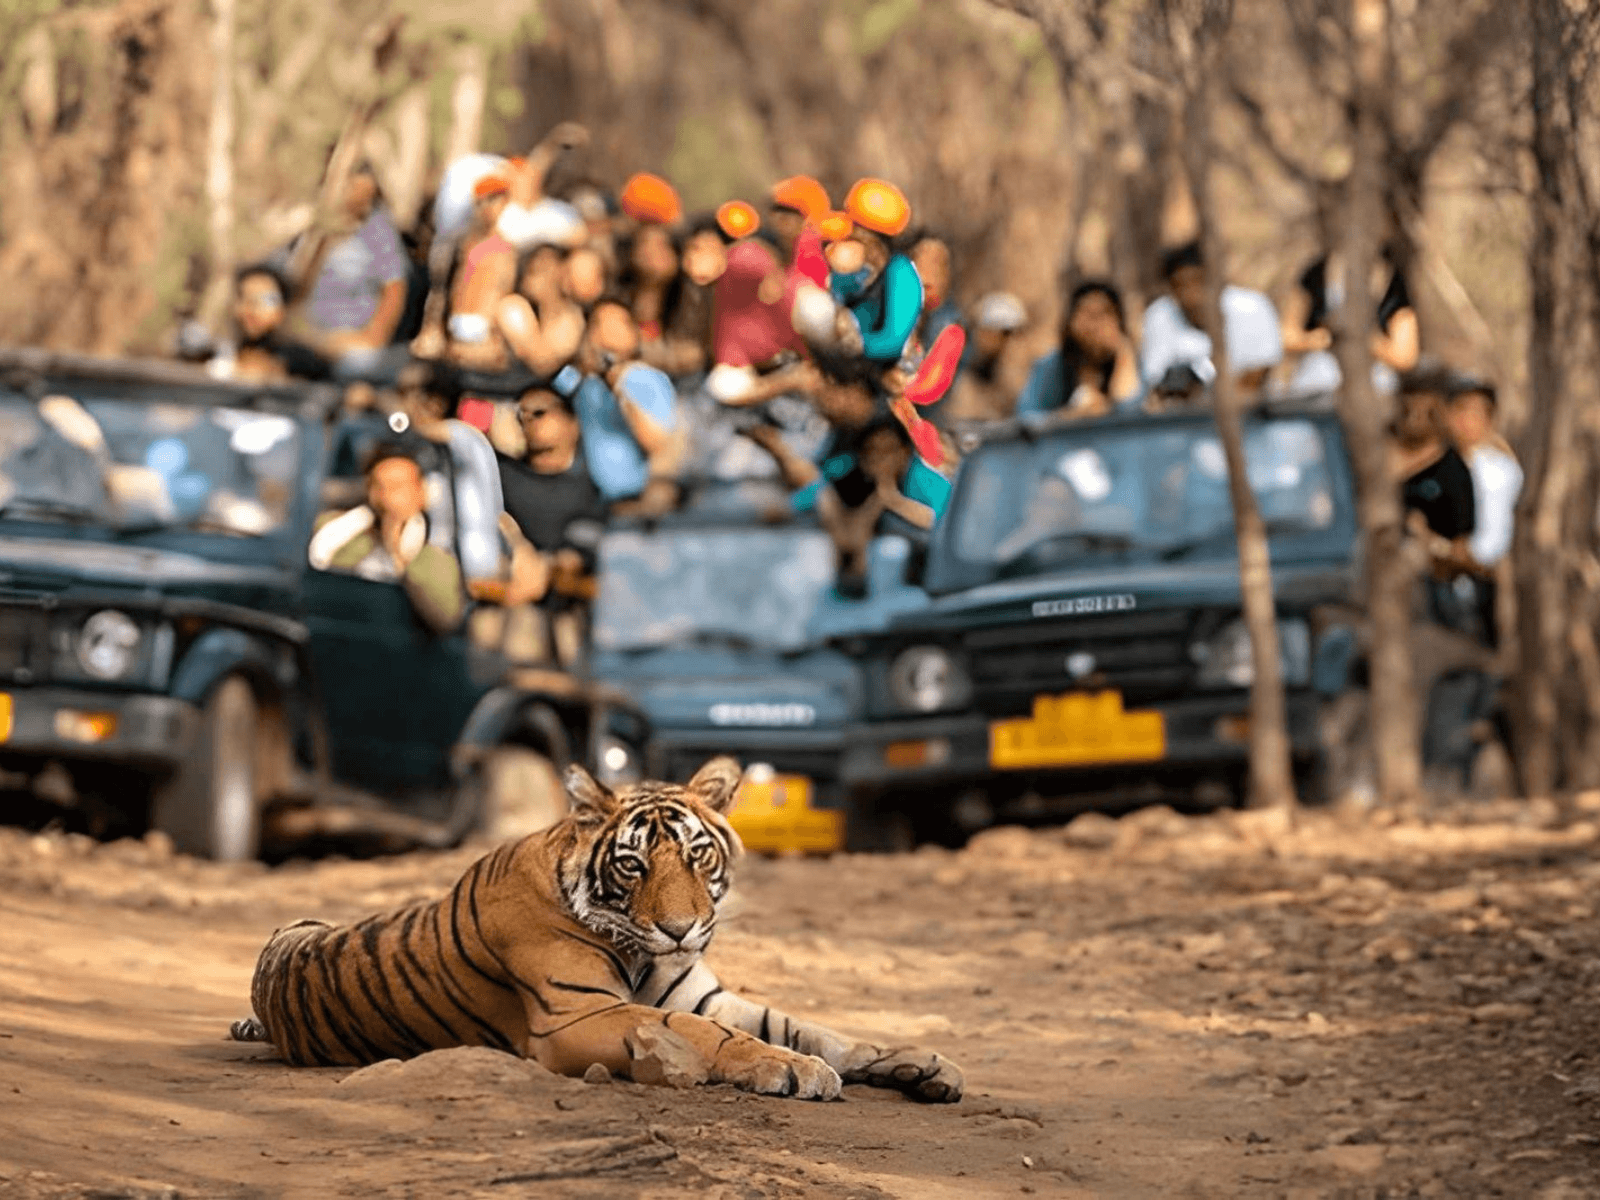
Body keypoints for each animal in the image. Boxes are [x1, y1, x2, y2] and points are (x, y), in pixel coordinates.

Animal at [230, 756, 963, 1103]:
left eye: (698, 855)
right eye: (633, 864)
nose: (681, 930)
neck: (641, 950)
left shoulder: (705, 994)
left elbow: (816, 1027)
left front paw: (922, 1062)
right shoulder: (576, 1016)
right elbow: (708, 1034)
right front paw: (793, 1070)